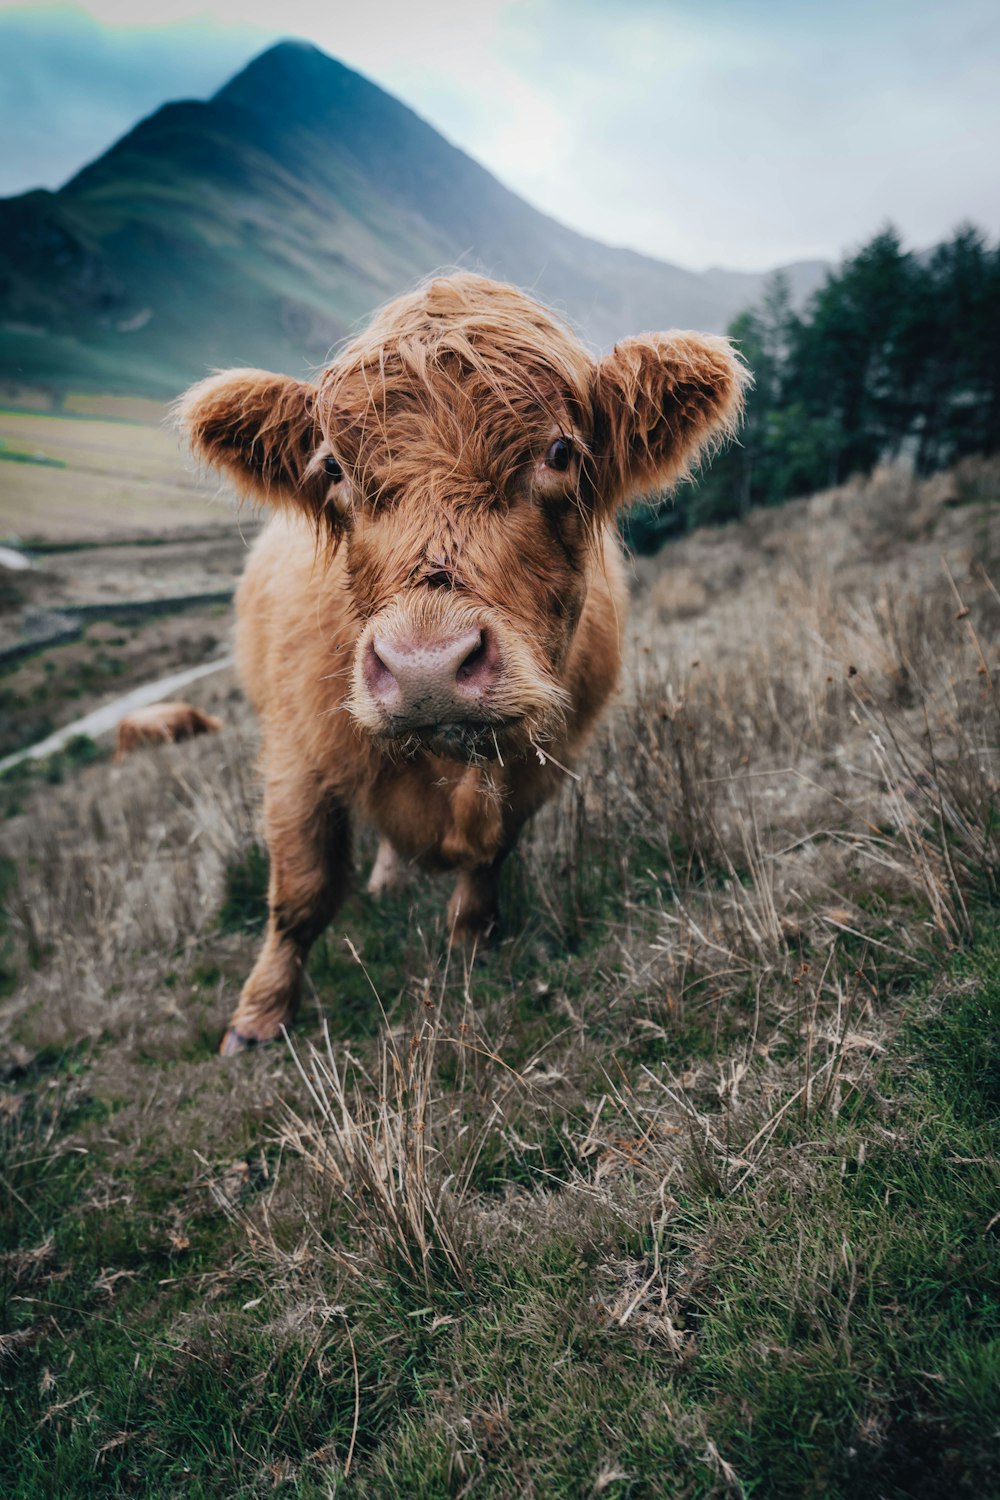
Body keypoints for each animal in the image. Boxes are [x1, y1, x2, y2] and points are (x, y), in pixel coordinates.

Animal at [177, 273, 743, 1056]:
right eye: (333, 468)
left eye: (560, 452)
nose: (427, 669)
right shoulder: (298, 753)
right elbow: (301, 891)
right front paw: (259, 1018)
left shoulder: (543, 756)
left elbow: (491, 853)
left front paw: (471, 941)